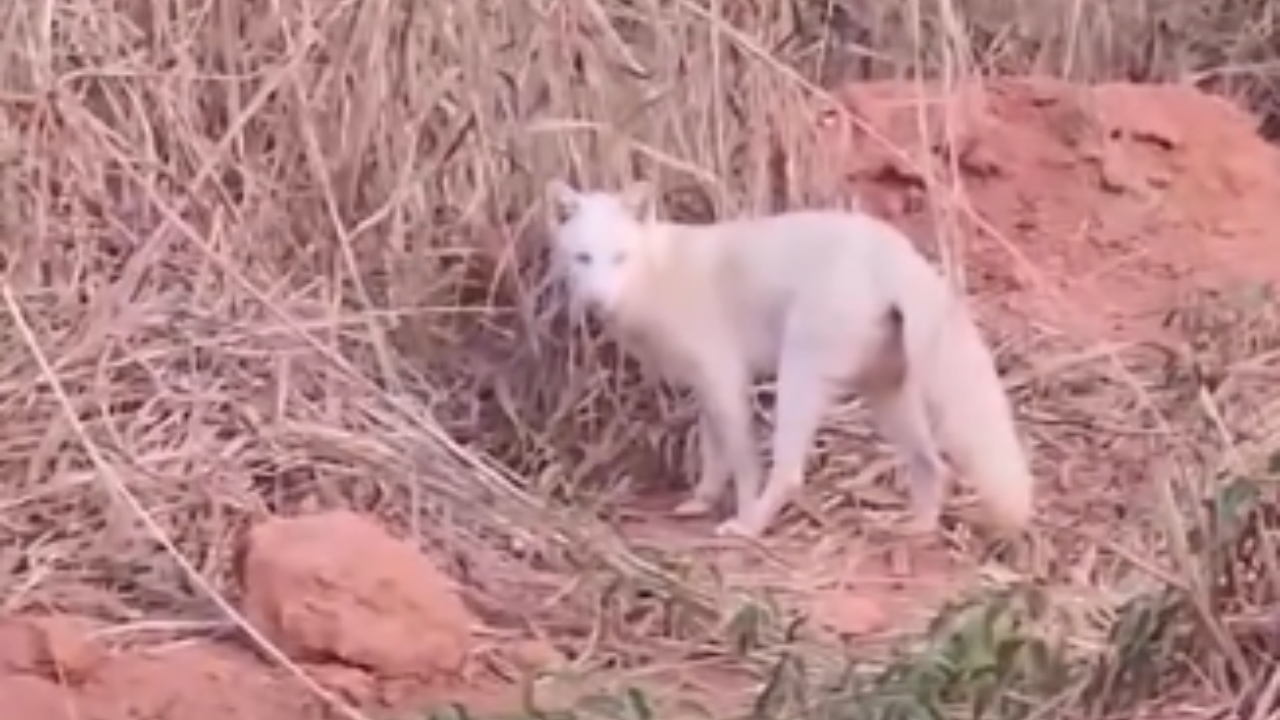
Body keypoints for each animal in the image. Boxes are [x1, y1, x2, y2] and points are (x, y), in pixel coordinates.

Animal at [544, 179, 1035, 540]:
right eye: (583, 258)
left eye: (619, 258)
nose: (597, 303)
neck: (658, 272)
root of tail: (894, 251)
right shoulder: (705, 386)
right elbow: (713, 453)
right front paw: (700, 501)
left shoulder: (725, 377)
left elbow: (741, 462)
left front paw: (738, 514)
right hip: (886, 392)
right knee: (932, 463)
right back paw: (918, 528)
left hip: (799, 376)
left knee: (789, 473)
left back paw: (752, 527)